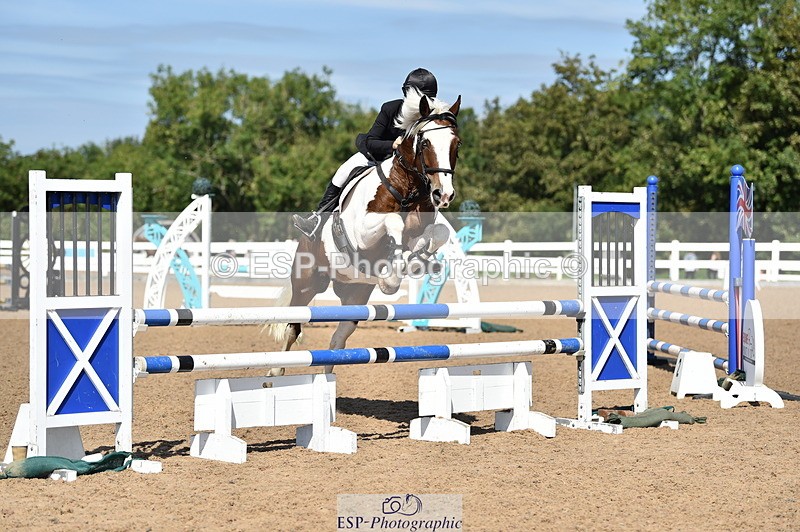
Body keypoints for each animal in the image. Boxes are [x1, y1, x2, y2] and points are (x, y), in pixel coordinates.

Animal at [268, 93, 462, 374]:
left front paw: (417, 260)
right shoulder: (362, 233)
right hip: (306, 284)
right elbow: (393, 223)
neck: (407, 187)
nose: (443, 195)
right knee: (292, 326)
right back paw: (276, 370)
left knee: (338, 340)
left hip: (354, 294)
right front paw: (392, 276)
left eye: (456, 145)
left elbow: (437, 233)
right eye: (425, 142)